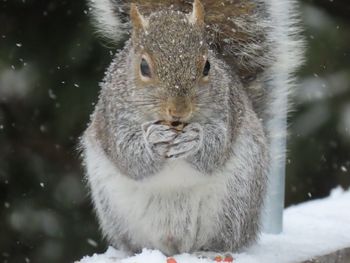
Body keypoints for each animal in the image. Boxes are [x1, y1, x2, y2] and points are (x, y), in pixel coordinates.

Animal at [80, 0, 302, 256]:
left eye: (207, 66)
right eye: (143, 66)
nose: (179, 110)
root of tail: (176, 244)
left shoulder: (226, 109)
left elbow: (215, 149)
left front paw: (194, 140)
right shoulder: (113, 118)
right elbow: (128, 156)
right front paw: (153, 140)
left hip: (234, 201)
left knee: (223, 239)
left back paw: (209, 252)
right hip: (116, 211)